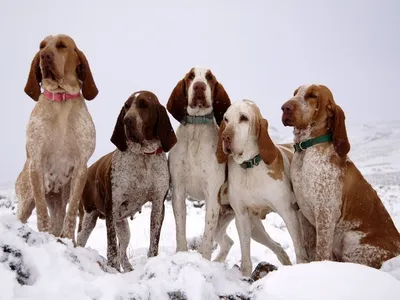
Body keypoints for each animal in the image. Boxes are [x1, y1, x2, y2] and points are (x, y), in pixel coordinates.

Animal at [15, 34, 98, 240]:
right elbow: (42, 214)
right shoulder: (36, 162)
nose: (44, 55)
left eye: (61, 45)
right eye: (41, 46)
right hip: (26, 200)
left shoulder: (81, 167)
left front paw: (68, 239)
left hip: (58, 200)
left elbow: (71, 214)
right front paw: (44, 234)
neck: (61, 100)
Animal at [77, 90, 177, 270]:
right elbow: (111, 247)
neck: (143, 155)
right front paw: (112, 270)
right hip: (88, 218)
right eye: (126, 106)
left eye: (144, 105)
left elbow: (154, 240)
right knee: (80, 240)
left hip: (122, 226)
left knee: (123, 252)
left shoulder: (158, 203)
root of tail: (87, 170)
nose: (127, 120)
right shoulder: (112, 204)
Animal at [167, 66, 231, 260]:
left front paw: (204, 260)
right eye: (191, 77)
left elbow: (206, 237)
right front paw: (181, 253)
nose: (199, 87)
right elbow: (180, 230)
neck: (197, 128)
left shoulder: (212, 195)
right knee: (228, 242)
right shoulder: (178, 191)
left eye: (209, 77)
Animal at [216, 101, 310, 276]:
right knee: (278, 247)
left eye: (244, 118)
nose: (225, 137)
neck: (250, 168)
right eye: (226, 119)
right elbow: (246, 258)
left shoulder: (288, 213)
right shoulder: (242, 217)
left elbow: (300, 251)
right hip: (255, 230)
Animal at [282, 84, 400, 268]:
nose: (285, 107)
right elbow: (310, 248)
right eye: (295, 93)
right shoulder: (304, 215)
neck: (306, 151)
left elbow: (321, 253)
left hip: (350, 238)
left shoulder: (325, 214)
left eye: (312, 95)